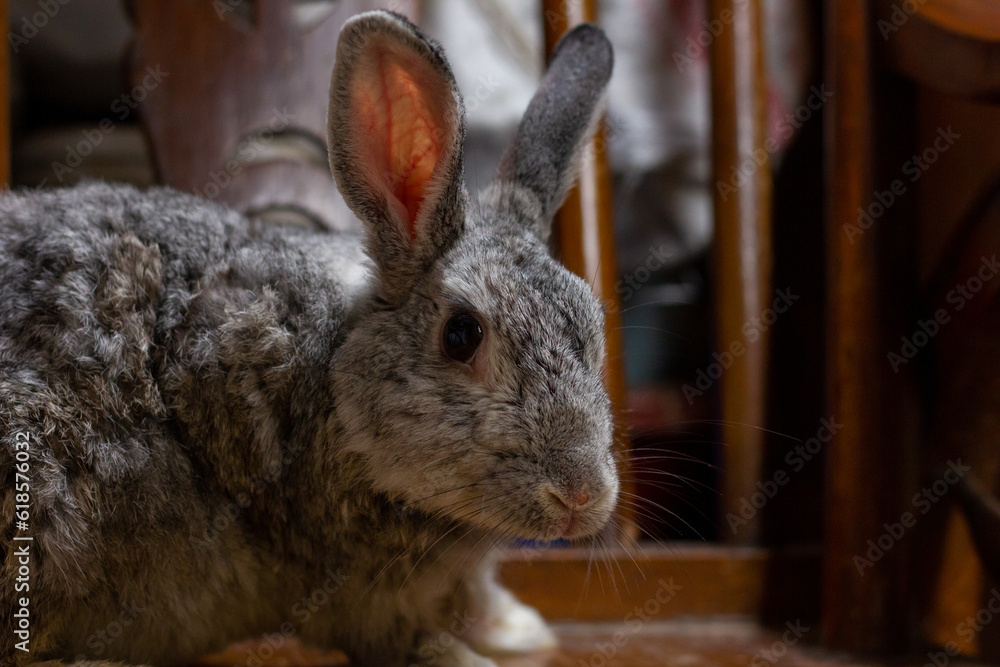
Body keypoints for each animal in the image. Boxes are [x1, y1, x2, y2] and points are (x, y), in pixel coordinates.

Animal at [0, 10, 617, 667]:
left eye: (594, 327)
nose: (580, 495)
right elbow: (406, 637)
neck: (330, 381)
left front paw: (521, 630)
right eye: (461, 335)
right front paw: (473, 653)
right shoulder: (353, 585)